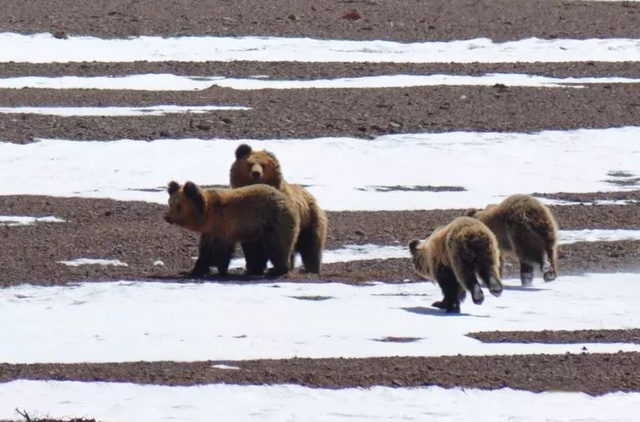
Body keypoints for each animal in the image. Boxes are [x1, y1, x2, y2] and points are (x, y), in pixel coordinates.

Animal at [162, 181, 298, 276]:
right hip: (256, 231)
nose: (167, 217)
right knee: (256, 249)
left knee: (277, 246)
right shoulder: (211, 230)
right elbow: (206, 249)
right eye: (170, 203)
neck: (207, 214)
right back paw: (254, 269)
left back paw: (276, 269)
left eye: (179, 206)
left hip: (273, 221)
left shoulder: (222, 225)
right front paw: (194, 270)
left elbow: (215, 251)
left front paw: (209, 269)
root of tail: (286, 200)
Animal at [229, 143, 328, 276]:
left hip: (310, 219)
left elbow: (280, 239)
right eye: (249, 164)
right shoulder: (244, 212)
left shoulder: (279, 211)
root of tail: (311, 195)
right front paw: (252, 268)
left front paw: (276, 267)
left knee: (311, 245)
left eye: (263, 165)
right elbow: (251, 245)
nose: (256, 173)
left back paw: (310, 268)